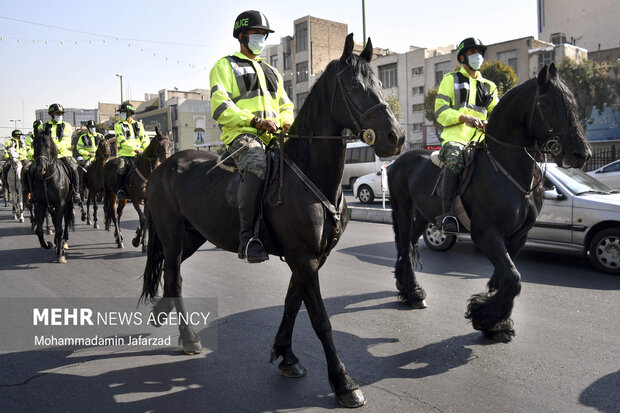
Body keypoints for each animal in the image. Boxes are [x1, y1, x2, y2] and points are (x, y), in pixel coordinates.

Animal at [31, 134, 75, 262]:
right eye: (34, 144)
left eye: (48, 145)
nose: (41, 168)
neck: (47, 178)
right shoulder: (40, 204)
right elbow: (39, 230)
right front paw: (48, 244)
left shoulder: (60, 204)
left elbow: (60, 229)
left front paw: (60, 253)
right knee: (56, 221)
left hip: (67, 203)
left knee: (65, 221)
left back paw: (63, 242)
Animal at [388, 63, 592, 342]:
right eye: (550, 105)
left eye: (572, 103)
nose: (583, 154)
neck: (507, 169)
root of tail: (399, 160)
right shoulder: (486, 234)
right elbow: (513, 278)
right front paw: (484, 316)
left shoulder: (517, 236)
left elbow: (503, 278)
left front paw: (494, 321)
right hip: (403, 211)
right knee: (404, 248)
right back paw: (413, 292)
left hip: (423, 216)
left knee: (407, 246)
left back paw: (410, 291)